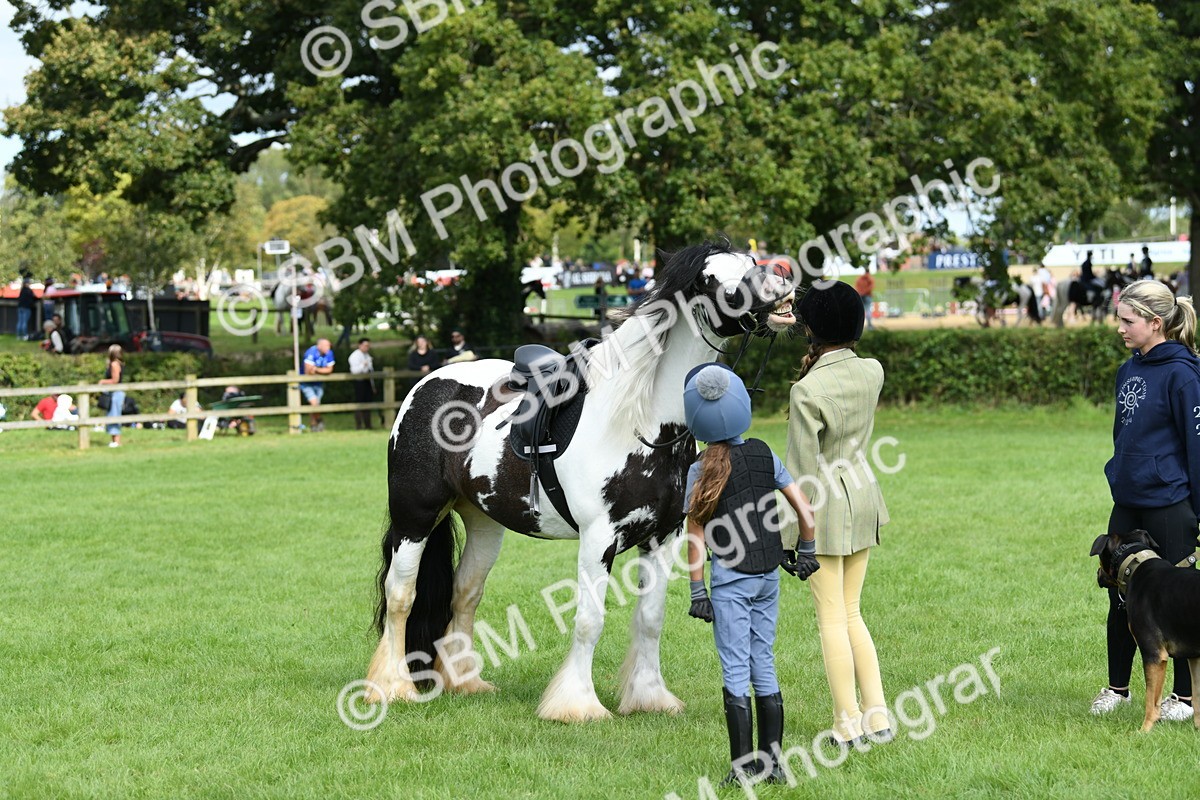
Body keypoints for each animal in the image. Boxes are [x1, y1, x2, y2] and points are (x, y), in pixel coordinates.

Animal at [365, 241, 797, 722]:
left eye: (752, 262)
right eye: (711, 279)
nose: (782, 282)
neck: (641, 421)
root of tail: (426, 385)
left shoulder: (664, 536)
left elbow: (651, 620)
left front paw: (650, 697)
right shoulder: (598, 538)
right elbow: (590, 620)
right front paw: (577, 705)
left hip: (483, 523)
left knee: (465, 593)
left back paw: (465, 682)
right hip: (416, 518)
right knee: (401, 594)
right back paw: (393, 687)